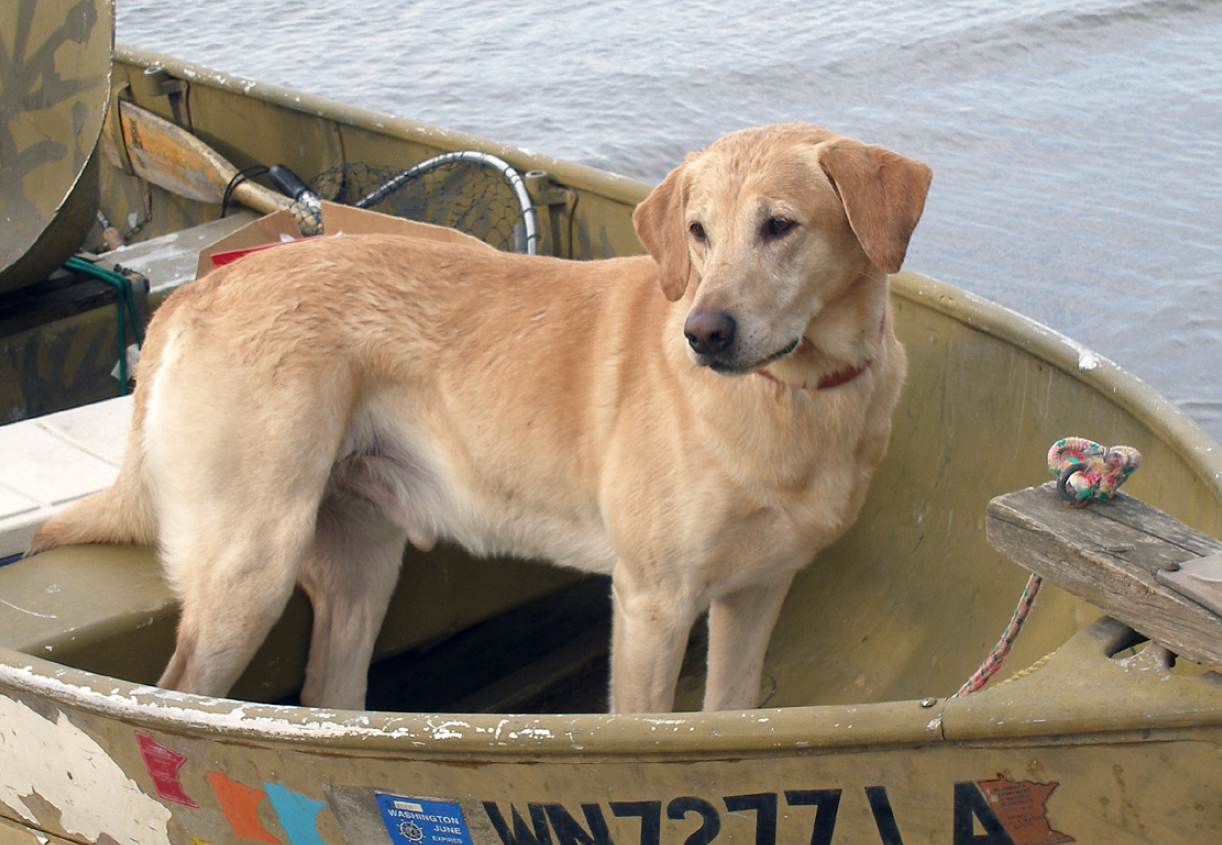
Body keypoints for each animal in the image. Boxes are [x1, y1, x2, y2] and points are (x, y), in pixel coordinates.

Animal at [31, 124, 923, 714]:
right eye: (699, 232)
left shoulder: (758, 591)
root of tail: (197, 290)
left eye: (781, 226)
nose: (704, 333)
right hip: (247, 568)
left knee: (330, 694)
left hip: (358, 565)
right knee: (183, 699)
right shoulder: (654, 601)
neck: (798, 395)